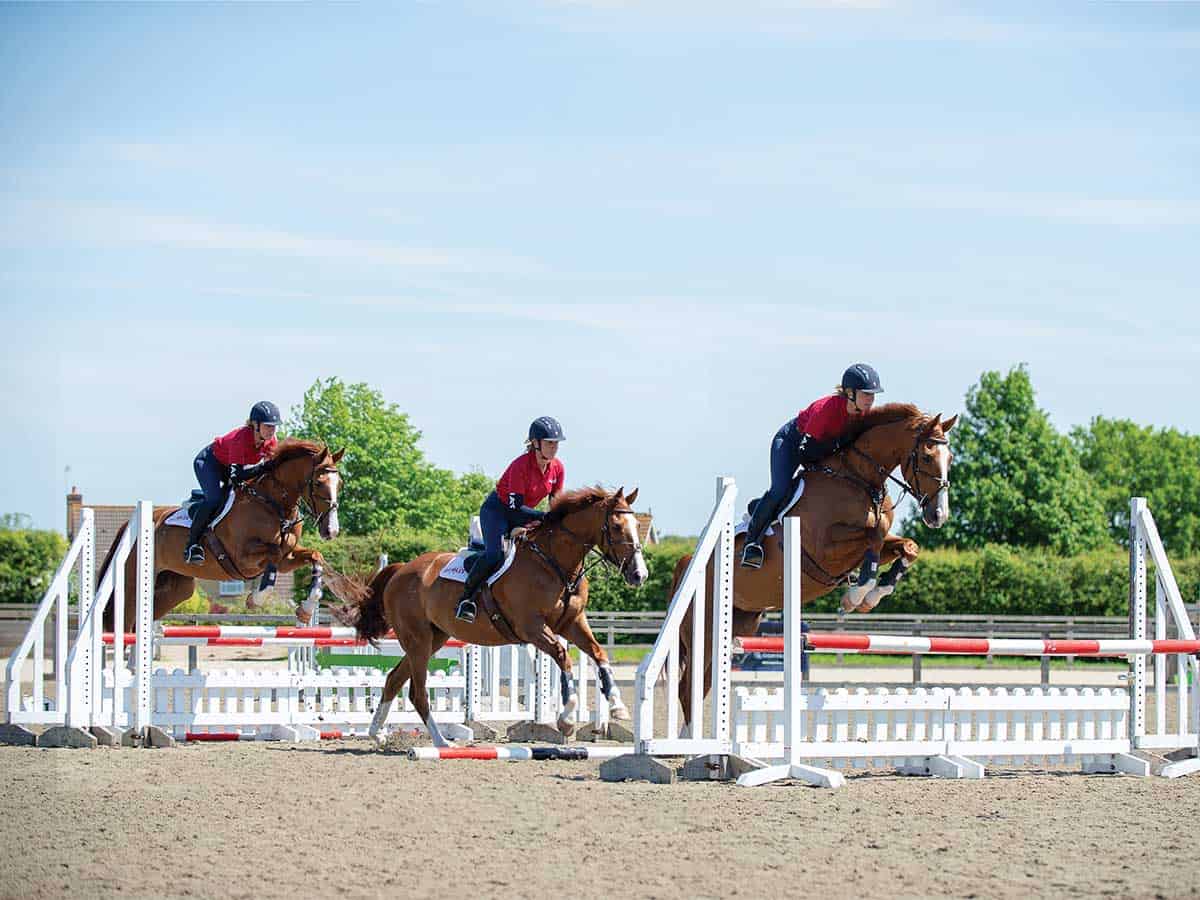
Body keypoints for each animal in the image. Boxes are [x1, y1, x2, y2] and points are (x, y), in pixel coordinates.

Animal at [100, 441, 345, 628]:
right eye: (318, 483)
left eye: (339, 484)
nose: (331, 530)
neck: (271, 503)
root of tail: (128, 526)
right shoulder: (243, 558)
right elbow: (273, 553)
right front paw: (255, 599)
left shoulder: (287, 558)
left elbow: (315, 556)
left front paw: (306, 609)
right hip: (132, 584)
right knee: (122, 623)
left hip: (175, 588)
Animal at [333, 487, 652, 748]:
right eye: (616, 526)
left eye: (638, 526)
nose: (639, 575)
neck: (554, 563)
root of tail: (401, 570)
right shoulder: (532, 627)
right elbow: (563, 656)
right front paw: (567, 717)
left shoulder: (572, 624)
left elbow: (599, 654)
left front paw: (617, 705)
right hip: (418, 640)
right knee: (417, 692)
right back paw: (440, 743)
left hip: (435, 637)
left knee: (393, 679)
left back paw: (377, 734)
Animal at [676, 405, 955, 729]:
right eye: (927, 457)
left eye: (950, 459)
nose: (938, 515)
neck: (859, 479)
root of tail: (687, 564)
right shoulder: (824, 549)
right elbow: (875, 534)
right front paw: (857, 595)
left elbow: (907, 546)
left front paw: (875, 592)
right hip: (704, 632)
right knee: (687, 688)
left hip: (736, 624)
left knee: (702, 684)